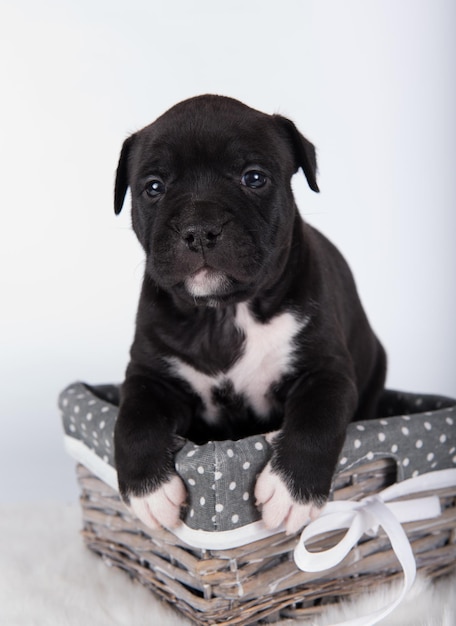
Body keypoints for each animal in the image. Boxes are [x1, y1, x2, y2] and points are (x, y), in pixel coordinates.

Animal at [113, 94, 384, 532]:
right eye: (153, 187)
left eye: (253, 178)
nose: (199, 228)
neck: (224, 313)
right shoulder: (150, 377)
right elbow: (133, 420)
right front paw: (148, 492)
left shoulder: (326, 372)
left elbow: (317, 420)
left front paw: (292, 491)